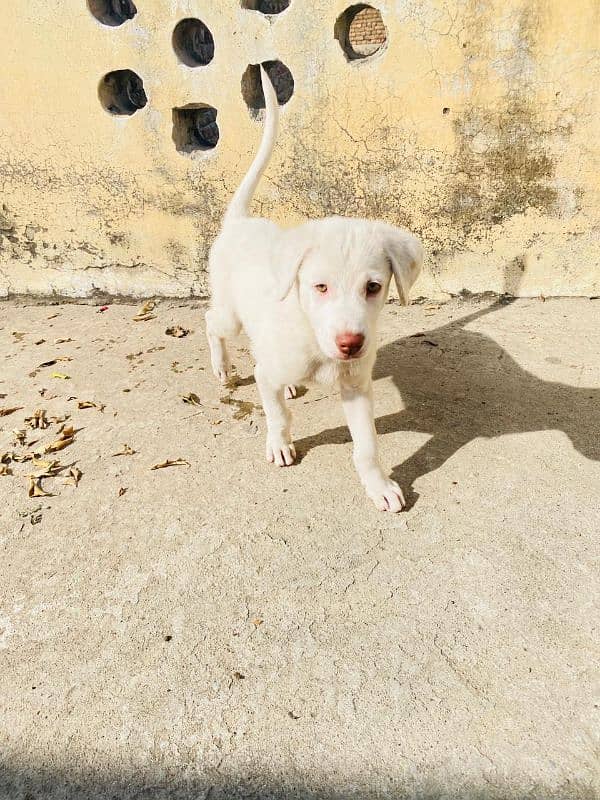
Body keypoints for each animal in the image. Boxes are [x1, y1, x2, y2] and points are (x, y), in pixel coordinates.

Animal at [206, 65, 422, 510]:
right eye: (319, 287)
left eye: (373, 287)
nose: (351, 344)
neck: (313, 336)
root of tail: (239, 221)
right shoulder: (268, 373)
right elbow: (276, 415)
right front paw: (279, 444)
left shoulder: (357, 387)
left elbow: (367, 446)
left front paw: (379, 485)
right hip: (230, 315)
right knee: (211, 323)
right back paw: (222, 366)